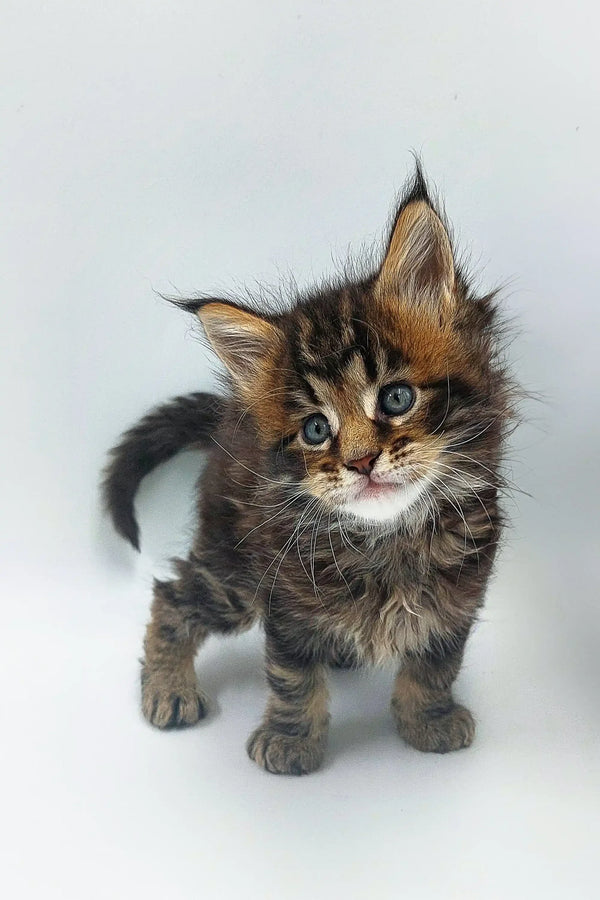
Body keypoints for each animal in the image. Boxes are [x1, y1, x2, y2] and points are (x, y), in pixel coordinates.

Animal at [103, 167, 516, 772]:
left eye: (396, 398)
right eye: (316, 429)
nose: (362, 461)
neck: (387, 542)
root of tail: (227, 420)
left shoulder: (461, 591)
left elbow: (436, 664)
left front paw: (428, 720)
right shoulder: (286, 599)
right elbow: (292, 676)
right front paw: (291, 739)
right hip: (234, 568)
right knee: (174, 596)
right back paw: (168, 687)